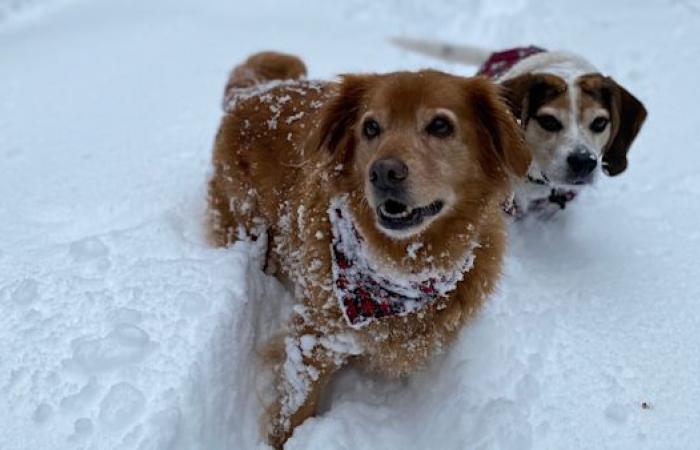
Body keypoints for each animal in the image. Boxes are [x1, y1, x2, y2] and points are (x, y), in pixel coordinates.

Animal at [208, 50, 532, 446]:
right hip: (246, 223)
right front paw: (285, 441)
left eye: (441, 126)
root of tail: (257, 91)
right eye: (371, 127)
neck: (404, 267)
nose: (383, 173)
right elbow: (295, 406)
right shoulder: (315, 335)